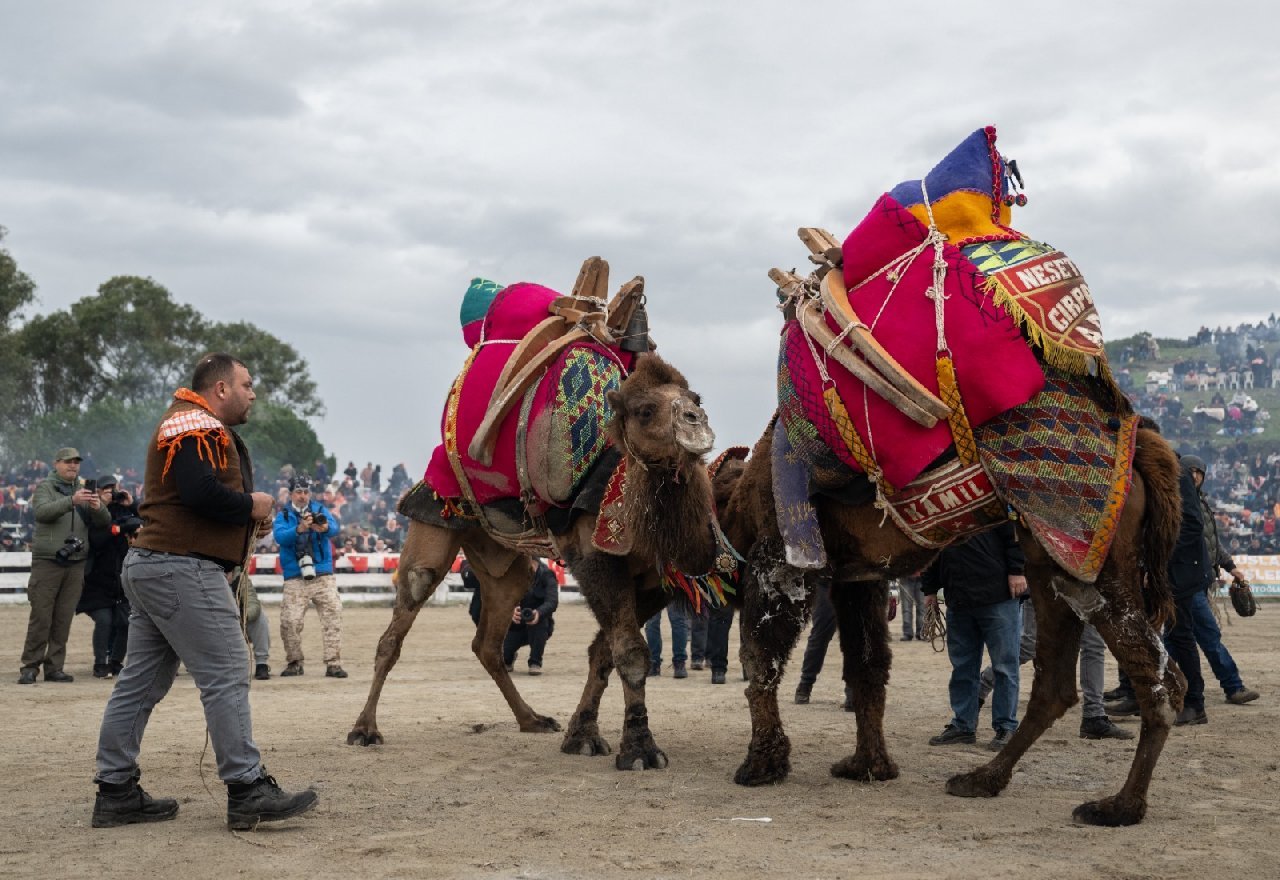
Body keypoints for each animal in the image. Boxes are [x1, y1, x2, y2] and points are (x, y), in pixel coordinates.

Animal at [350, 255, 732, 767]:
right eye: (646, 410)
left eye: (695, 400)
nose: (696, 424)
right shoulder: (595, 561)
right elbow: (630, 651)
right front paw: (639, 749)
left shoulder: (654, 577)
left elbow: (604, 651)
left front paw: (581, 735)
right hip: (433, 522)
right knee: (400, 622)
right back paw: (364, 729)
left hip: (507, 561)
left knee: (489, 641)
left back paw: (532, 719)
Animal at [716, 127, 1182, 828]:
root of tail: (1141, 445)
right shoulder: (858, 576)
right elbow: (867, 666)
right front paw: (867, 765)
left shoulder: (782, 558)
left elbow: (760, 657)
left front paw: (760, 766)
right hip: (1050, 562)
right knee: (1058, 682)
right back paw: (984, 778)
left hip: (1094, 555)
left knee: (1154, 675)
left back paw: (1118, 805)